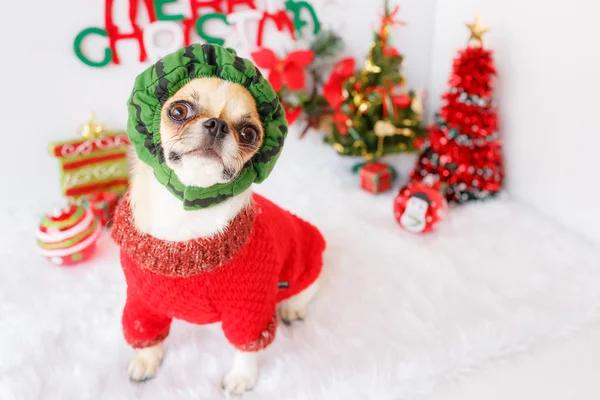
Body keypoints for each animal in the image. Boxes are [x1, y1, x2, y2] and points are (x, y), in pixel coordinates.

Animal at [113, 45, 328, 396]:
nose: (216, 124)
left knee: (306, 290)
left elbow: (247, 346)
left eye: (249, 133)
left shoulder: (250, 309)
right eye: (178, 111)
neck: (186, 217)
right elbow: (146, 332)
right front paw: (146, 360)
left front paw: (242, 378)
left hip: (305, 265)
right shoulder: (142, 302)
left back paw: (292, 307)